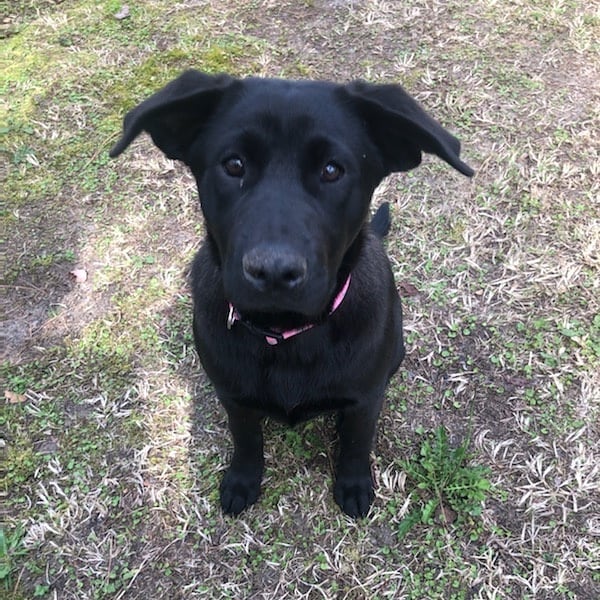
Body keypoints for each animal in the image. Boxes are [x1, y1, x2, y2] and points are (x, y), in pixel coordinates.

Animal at [109, 70, 474, 516]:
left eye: (332, 170)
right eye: (234, 165)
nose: (273, 272)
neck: (285, 336)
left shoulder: (365, 399)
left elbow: (357, 442)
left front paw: (354, 483)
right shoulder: (234, 397)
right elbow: (246, 439)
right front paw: (243, 479)